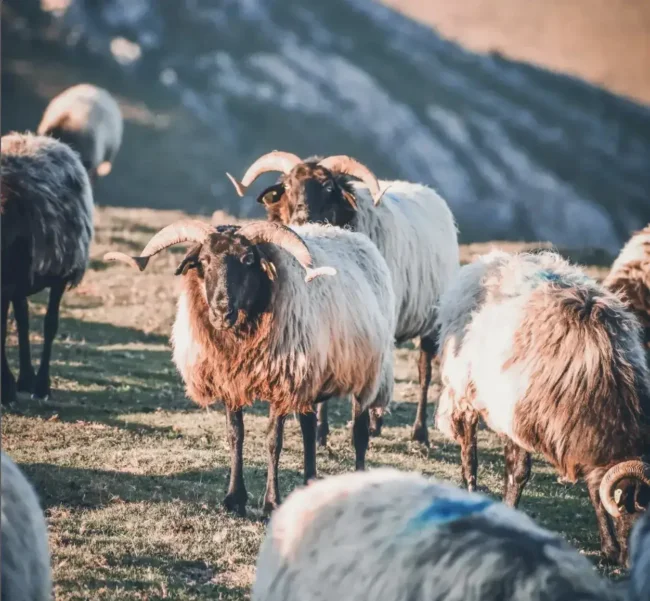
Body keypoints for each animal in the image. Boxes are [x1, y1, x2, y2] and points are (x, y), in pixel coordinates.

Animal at [104, 219, 395, 516]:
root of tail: (349, 234)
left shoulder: (282, 381)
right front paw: (234, 498)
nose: (221, 311)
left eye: (247, 260)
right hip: (310, 379)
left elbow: (273, 441)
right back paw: (309, 484)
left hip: (368, 374)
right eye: (204, 260)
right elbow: (236, 436)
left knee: (359, 434)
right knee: (308, 430)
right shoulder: (231, 381)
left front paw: (271, 503)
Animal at [227, 151, 459, 447]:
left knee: (424, 372)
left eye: (328, 187)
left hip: (427, 318)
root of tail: (429, 191)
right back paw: (376, 424)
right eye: (288, 185)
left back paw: (419, 432)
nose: (302, 214)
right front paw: (320, 432)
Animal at [435, 249, 650, 565]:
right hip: (465, 391)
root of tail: (494, 258)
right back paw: (471, 487)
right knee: (468, 445)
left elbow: (594, 488)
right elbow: (519, 473)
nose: (631, 564)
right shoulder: (517, 419)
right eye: (636, 507)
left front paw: (609, 547)